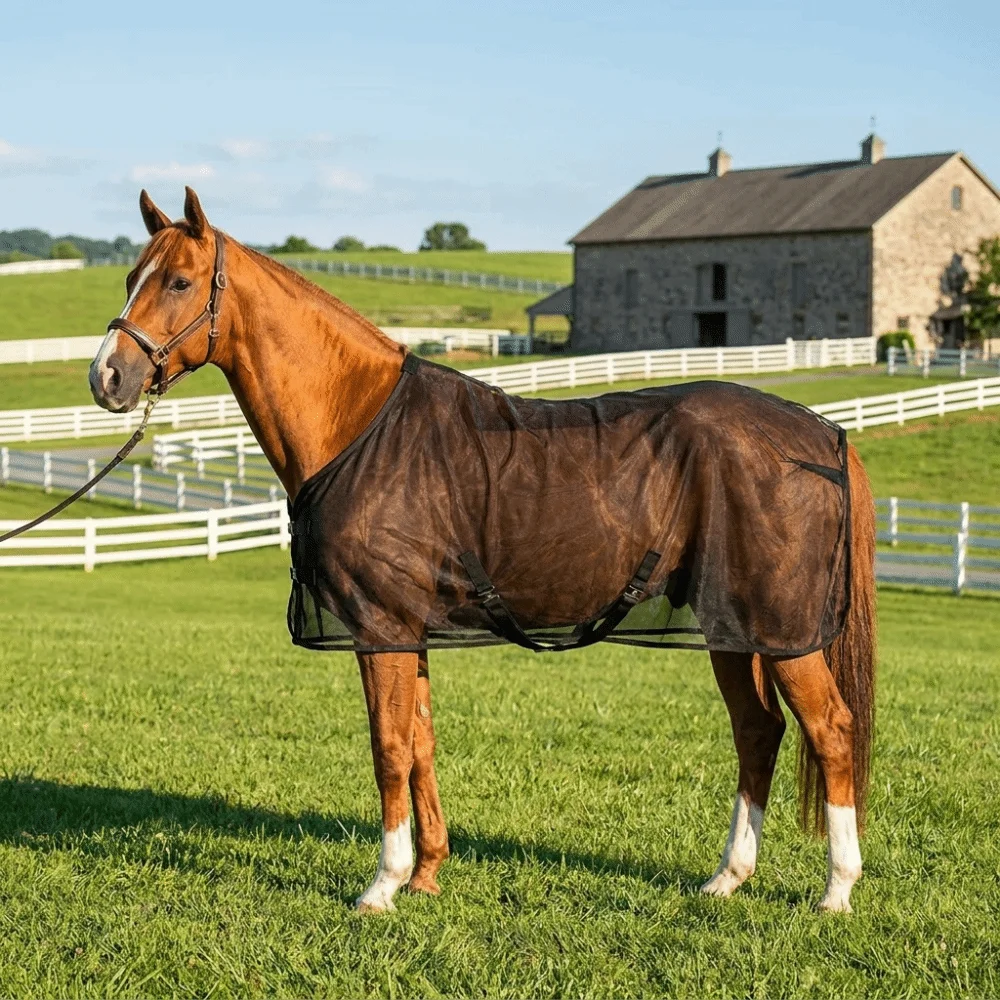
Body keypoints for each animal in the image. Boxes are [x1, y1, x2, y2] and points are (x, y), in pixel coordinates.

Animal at [89, 188, 877, 914]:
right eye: (130, 275)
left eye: (179, 281)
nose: (107, 377)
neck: (361, 426)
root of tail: (820, 435)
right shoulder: (408, 631)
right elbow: (420, 743)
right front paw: (428, 873)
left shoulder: (378, 628)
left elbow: (388, 748)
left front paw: (382, 886)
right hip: (732, 630)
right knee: (758, 731)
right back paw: (726, 878)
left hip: (782, 632)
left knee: (831, 731)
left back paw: (836, 891)